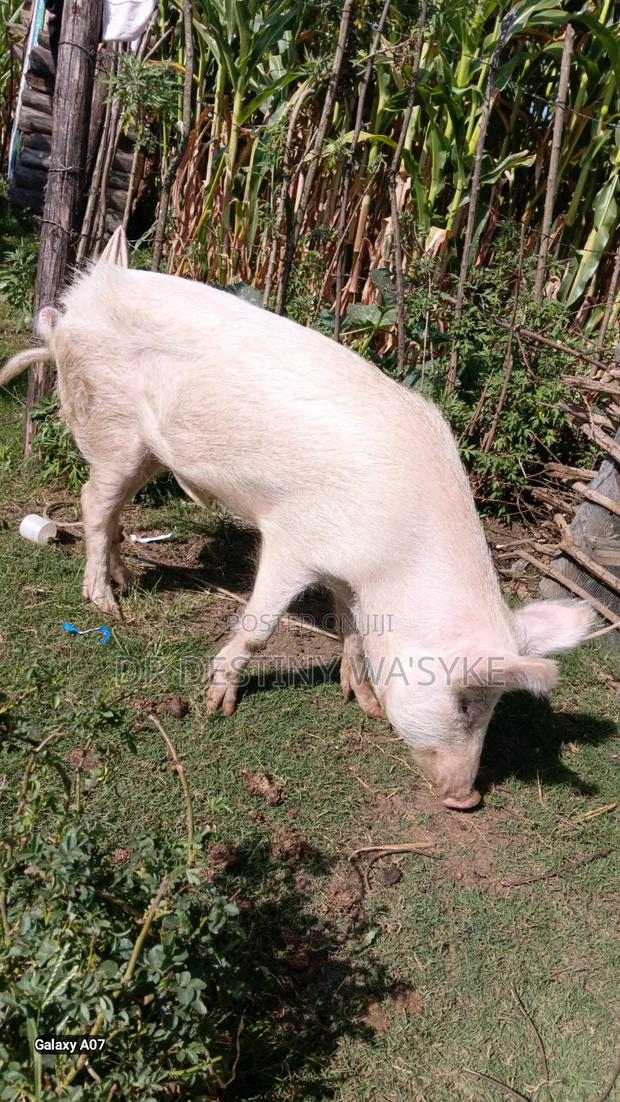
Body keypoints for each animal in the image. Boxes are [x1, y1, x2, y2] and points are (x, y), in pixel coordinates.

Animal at [1, 233, 594, 809]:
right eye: (467, 703)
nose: (467, 798)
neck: (393, 561)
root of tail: (81, 297)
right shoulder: (293, 540)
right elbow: (261, 627)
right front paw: (217, 705)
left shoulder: (346, 570)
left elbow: (353, 632)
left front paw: (364, 703)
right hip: (112, 429)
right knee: (94, 502)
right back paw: (105, 603)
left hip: (143, 451)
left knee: (115, 508)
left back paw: (125, 582)